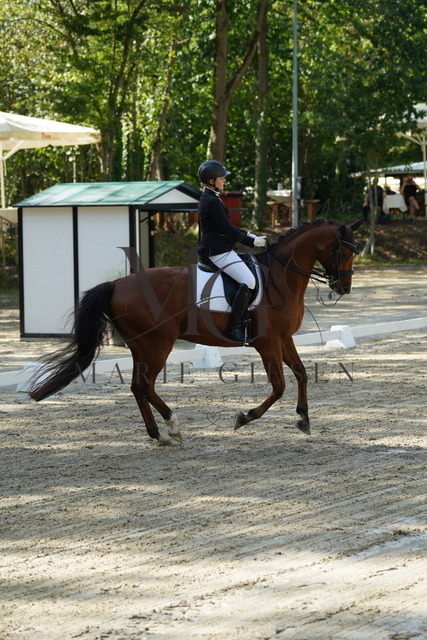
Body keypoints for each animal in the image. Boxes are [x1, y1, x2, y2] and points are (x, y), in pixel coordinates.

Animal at [29, 218, 362, 445]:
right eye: (344, 252)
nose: (343, 288)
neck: (281, 276)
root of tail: (116, 284)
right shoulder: (267, 342)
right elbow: (279, 386)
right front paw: (243, 418)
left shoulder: (284, 339)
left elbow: (302, 374)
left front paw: (303, 419)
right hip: (157, 344)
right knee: (144, 385)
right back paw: (173, 425)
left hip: (142, 345)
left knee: (138, 386)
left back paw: (159, 434)